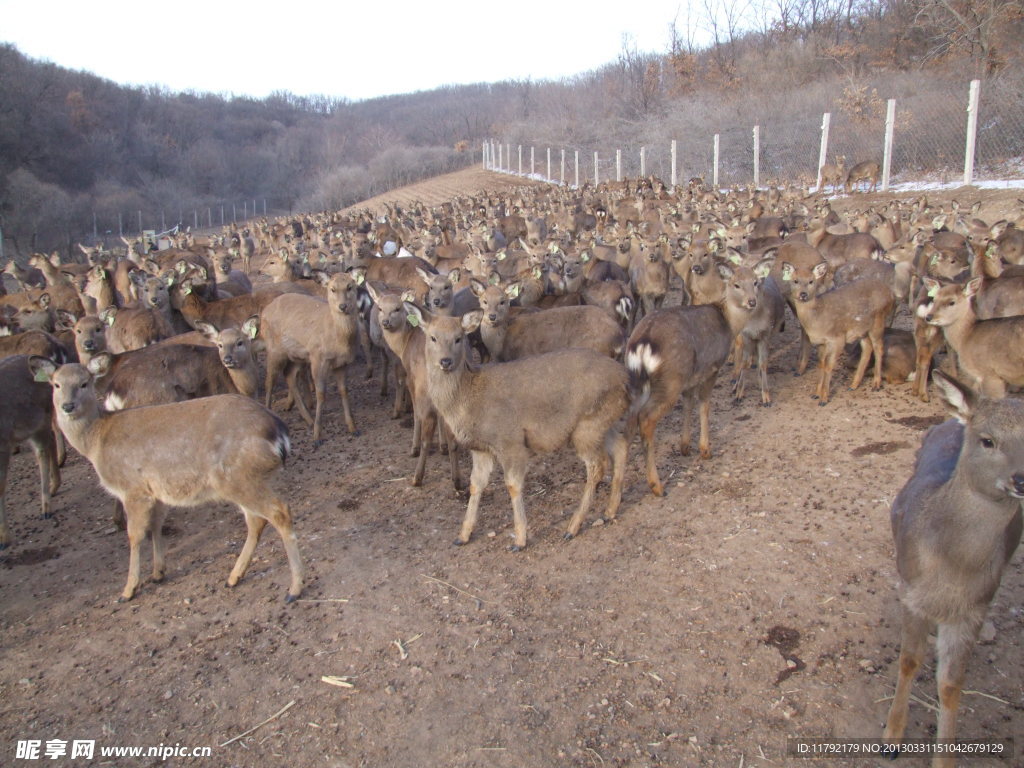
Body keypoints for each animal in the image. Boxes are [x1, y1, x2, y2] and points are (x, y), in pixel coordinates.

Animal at [0, 356, 61, 552]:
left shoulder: (3, 443)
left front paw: (4, 539)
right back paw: (54, 487)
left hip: (41, 418)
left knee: (44, 448)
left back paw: (46, 507)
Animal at [28, 358, 303, 606]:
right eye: (56, 384)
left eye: (84, 383)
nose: (68, 406)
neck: (97, 441)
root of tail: (278, 434)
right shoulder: (156, 491)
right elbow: (156, 526)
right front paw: (158, 573)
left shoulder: (133, 488)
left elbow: (134, 535)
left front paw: (128, 590)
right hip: (245, 480)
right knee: (257, 520)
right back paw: (233, 577)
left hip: (238, 478)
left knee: (279, 511)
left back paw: (294, 588)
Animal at [880, 370, 1024, 765]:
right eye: (987, 440)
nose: (1021, 479)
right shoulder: (912, 595)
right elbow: (909, 661)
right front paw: (891, 739)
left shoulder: (972, 611)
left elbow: (950, 685)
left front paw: (945, 758)